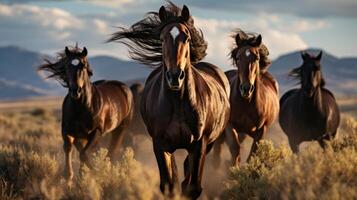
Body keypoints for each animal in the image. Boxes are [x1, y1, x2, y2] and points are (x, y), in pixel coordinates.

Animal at [38, 46, 134, 180]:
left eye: (83, 66)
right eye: (67, 65)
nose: (76, 91)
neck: (80, 108)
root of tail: (123, 87)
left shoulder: (96, 132)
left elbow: (84, 155)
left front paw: (93, 173)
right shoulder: (68, 132)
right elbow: (70, 150)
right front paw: (70, 176)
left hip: (120, 129)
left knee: (112, 151)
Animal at [108, 2, 229, 198]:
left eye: (186, 38)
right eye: (163, 38)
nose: (175, 77)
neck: (178, 102)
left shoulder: (199, 145)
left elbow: (192, 187)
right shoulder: (160, 144)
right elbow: (168, 186)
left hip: (209, 143)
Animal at [211, 30, 278, 167]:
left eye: (257, 58)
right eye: (238, 58)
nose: (246, 89)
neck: (246, 103)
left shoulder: (261, 131)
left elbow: (252, 154)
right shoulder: (229, 126)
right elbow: (235, 149)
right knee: (217, 152)